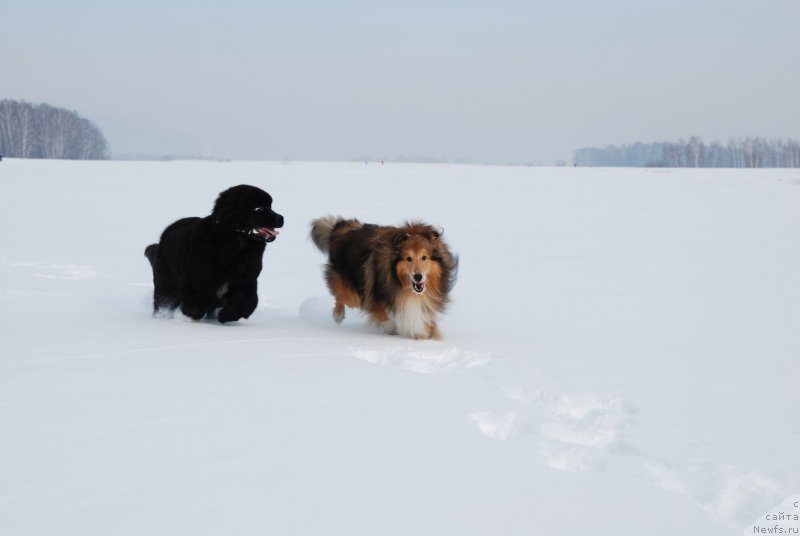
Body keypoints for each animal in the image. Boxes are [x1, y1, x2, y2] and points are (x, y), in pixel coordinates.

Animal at [147, 185, 284, 322]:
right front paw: (188, 316)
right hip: (166, 283)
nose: (281, 218)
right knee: (163, 300)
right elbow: (195, 307)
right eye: (258, 208)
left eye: (270, 206)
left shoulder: (245, 280)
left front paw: (225, 315)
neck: (235, 250)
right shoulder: (196, 281)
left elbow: (247, 302)